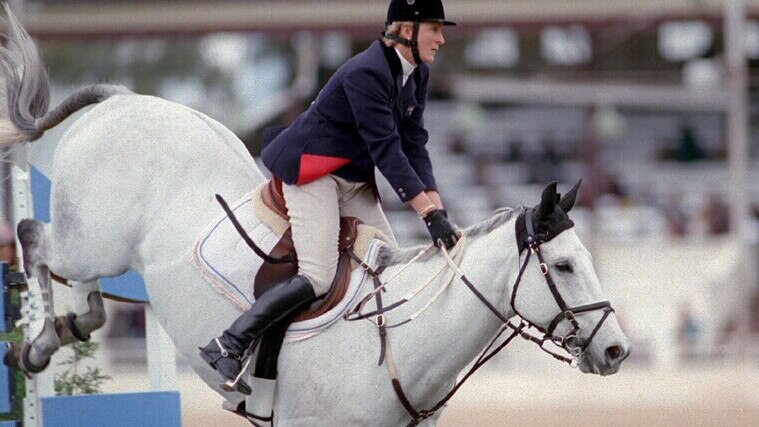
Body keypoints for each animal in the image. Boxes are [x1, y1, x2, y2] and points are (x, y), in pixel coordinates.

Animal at [0, 7, 628, 427]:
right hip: (95, 238)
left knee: (83, 288)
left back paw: (67, 326)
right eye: (565, 266)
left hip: (100, 244)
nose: (617, 351)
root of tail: (122, 99)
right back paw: (35, 342)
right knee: (36, 239)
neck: (402, 345)